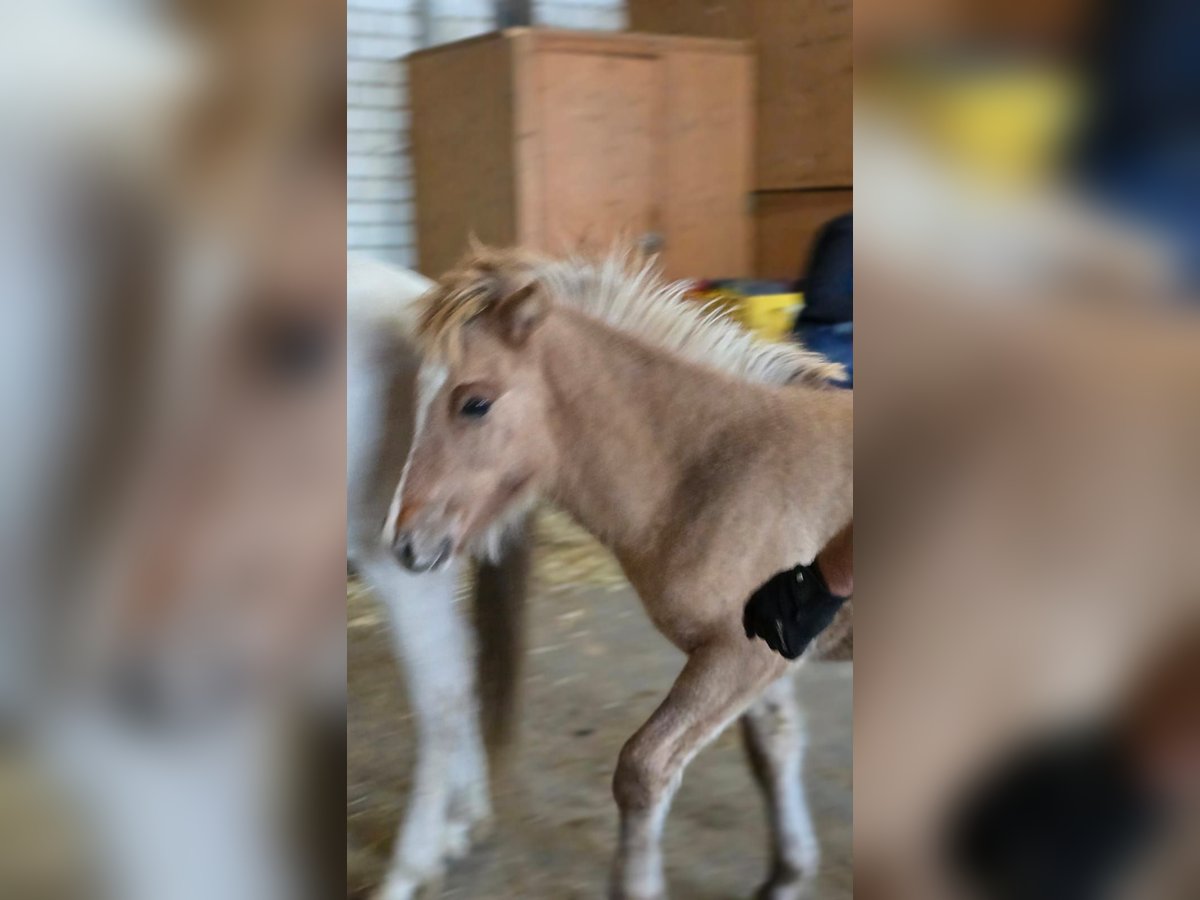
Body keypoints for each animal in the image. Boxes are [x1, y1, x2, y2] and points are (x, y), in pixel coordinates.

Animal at [383, 245, 853, 900]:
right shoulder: (770, 648)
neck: (717, 467)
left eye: (475, 403)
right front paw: (787, 875)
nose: (406, 544)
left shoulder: (740, 655)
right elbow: (776, 748)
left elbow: (644, 768)